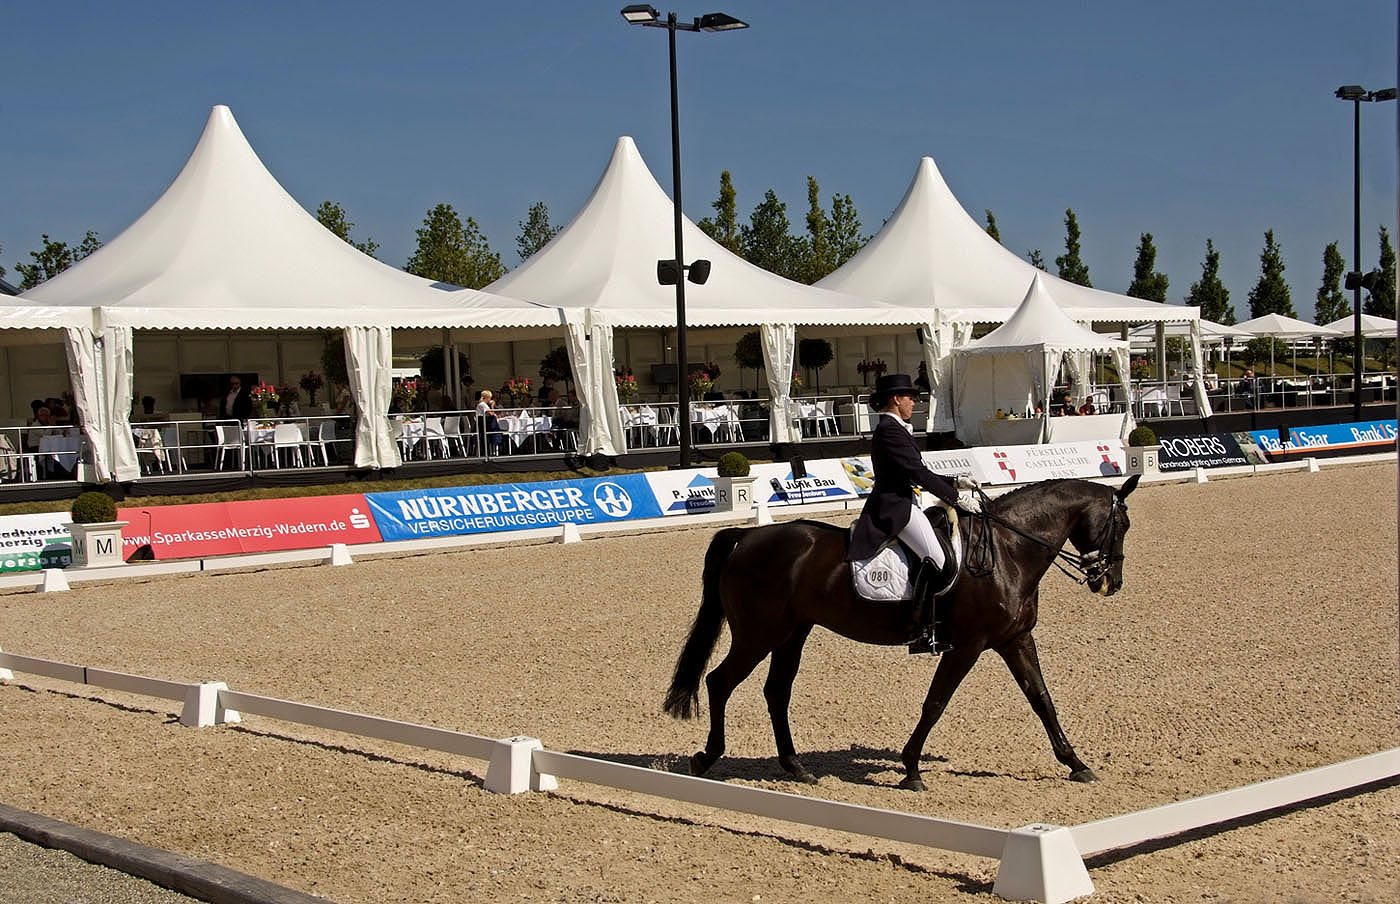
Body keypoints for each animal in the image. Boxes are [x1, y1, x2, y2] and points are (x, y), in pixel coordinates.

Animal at [663, 478, 1136, 789]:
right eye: (1123, 525)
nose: (1111, 582)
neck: (1007, 551)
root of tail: (748, 536)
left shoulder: (1013, 639)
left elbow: (1041, 700)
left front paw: (1076, 763)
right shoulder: (969, 645)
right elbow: (936, 703)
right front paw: (911, 769)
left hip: (791, 634)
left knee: (776, 692)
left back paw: (796, 767)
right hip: (759, 634)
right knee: (719, 681)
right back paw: (706, 758)